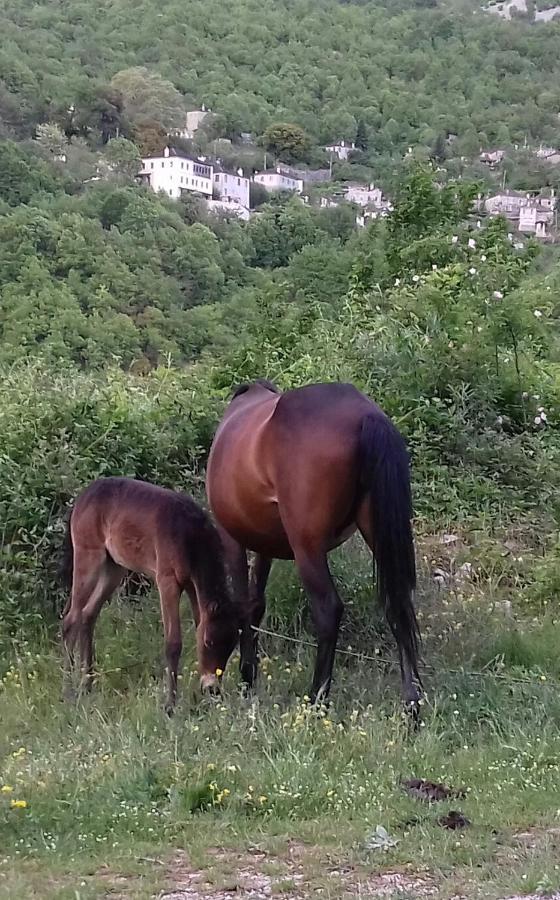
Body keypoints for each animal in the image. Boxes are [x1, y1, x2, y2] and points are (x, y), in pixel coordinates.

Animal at [61, 474, 241, 712]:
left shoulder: (192, 584)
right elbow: (173, 643)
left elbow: (198, 622)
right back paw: (68, 688)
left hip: (114, 567)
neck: (190, 536)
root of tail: (83, 496)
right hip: (88, 555)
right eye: (209, 642)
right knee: (71, 619)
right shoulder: (167, 581)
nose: (212, 688)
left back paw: (87, 684)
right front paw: (169, 706)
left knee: (88, 614)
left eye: (231, 645)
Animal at [208, 378, 422, 712]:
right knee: (397, 605)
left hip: (307, 548)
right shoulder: (264, 546)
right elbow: (256, 605)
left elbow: (243, 605)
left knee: (328, 610)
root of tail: (365, 415)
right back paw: (411, 704)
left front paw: (246, 677)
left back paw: (316, 697)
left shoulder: (233, 538)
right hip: (376, 533)